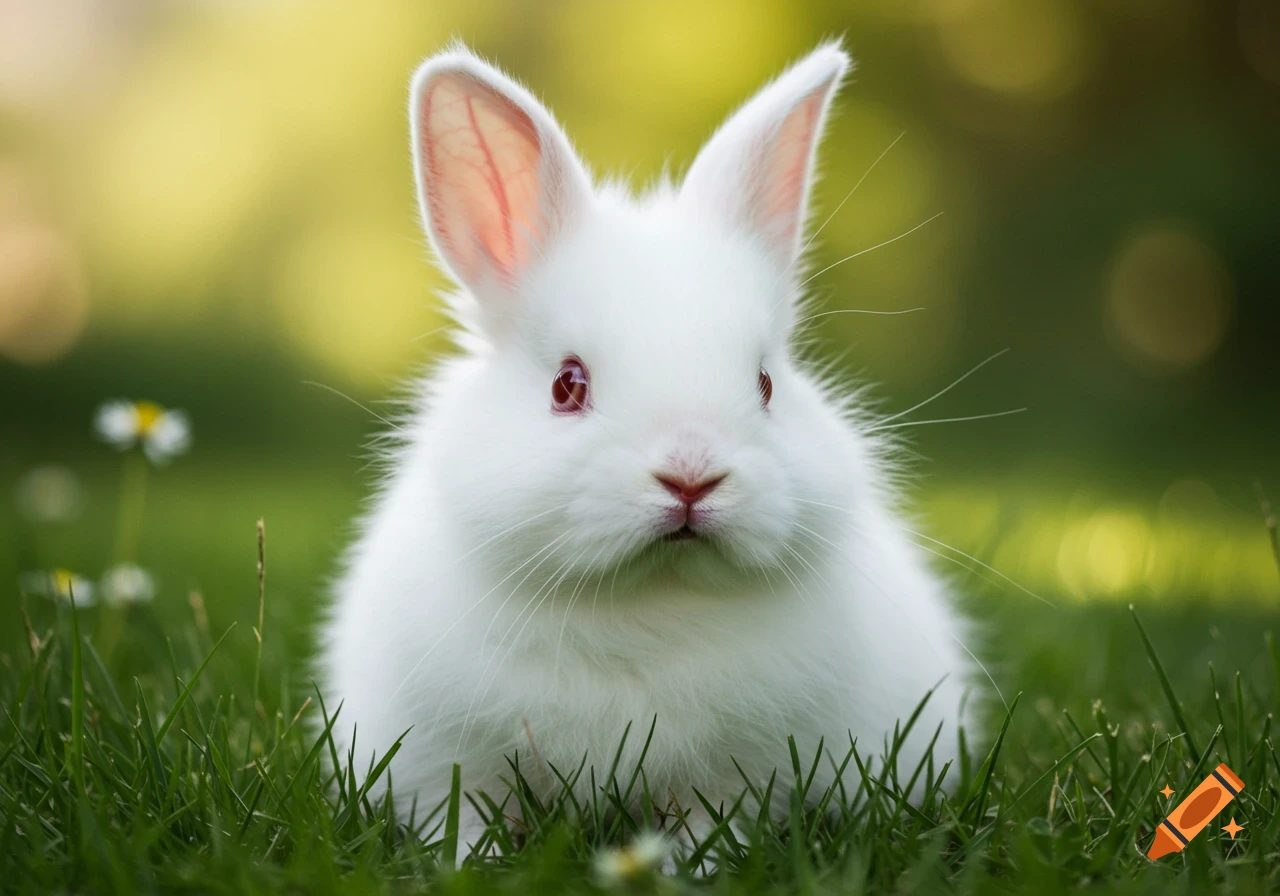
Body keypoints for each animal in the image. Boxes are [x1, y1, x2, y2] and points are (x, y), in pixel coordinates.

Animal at [318, 39, 975, 863]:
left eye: (766, 383)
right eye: (567, 385)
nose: (691, 478)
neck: (649, 598)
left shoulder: (734, 773)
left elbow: (710, 819)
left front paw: (699, 865)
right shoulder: (450, 759)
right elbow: (465, 816)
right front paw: (476, 864)